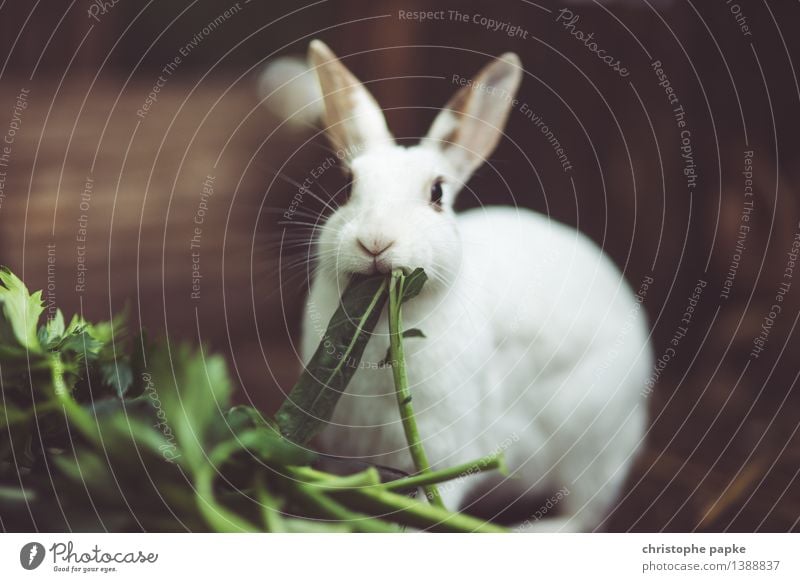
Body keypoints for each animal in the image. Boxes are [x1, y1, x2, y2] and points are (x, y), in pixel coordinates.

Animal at [296, 41, 652, 532]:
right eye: (349, 185)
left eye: (437, 194)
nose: (375, 241)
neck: (385, 320)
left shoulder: (449, 446)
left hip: (592, 439)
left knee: (587, 511)